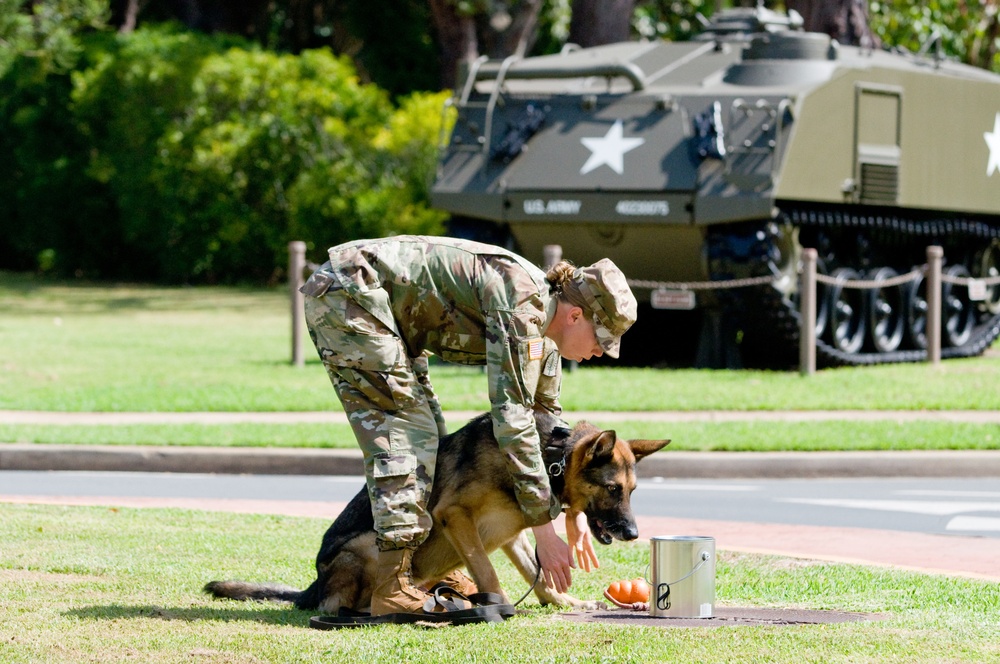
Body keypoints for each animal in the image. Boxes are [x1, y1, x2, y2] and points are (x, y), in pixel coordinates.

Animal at [206, 412, 668, 616]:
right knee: (343, 603)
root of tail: (313, 586)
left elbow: (535, 574)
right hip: (370, 544)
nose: (633, 533)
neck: (547, 460)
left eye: (631, 492)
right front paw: (499, 608)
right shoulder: (455, 517)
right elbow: (489, 572)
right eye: (613, 489)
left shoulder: (513, 534)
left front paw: (561, 601)